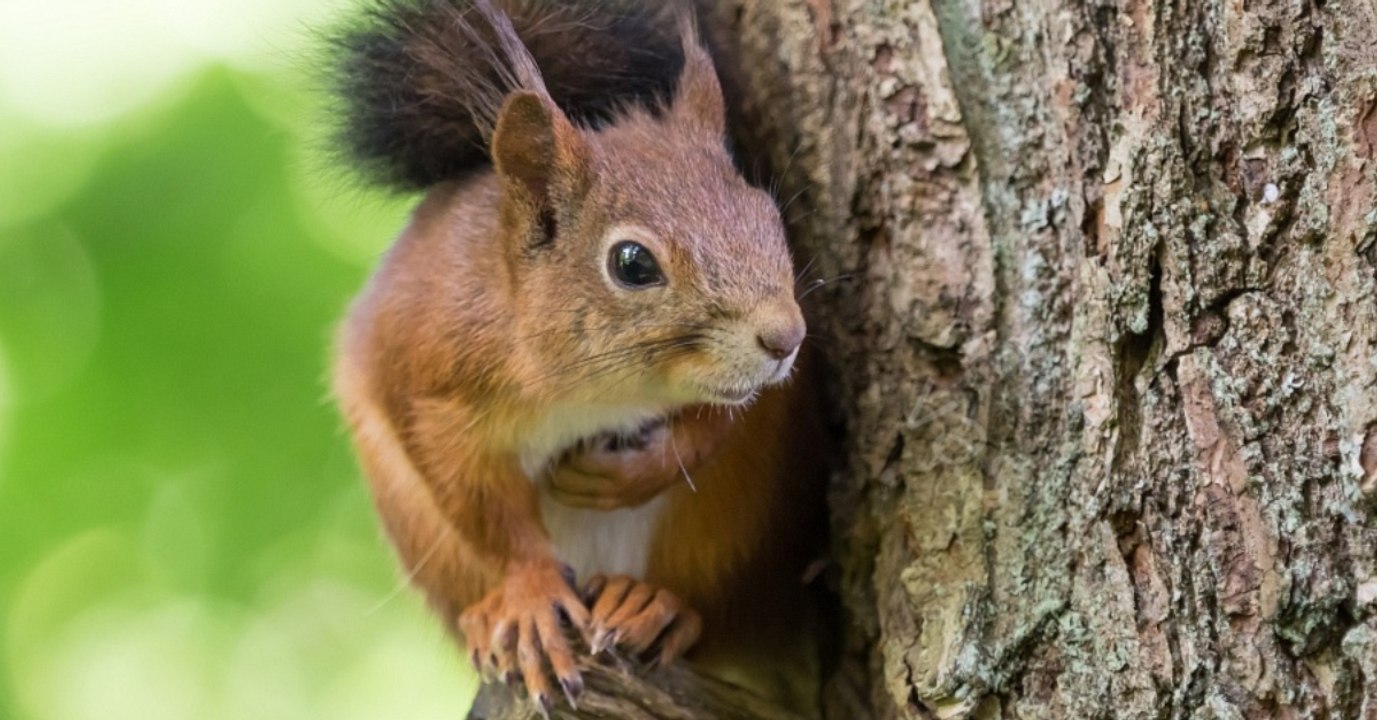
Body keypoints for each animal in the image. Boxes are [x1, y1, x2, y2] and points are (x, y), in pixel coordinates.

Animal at [328, 0, 829, 713]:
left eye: (767, 215)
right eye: (632, 263)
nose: (784, 338)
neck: (596, 389)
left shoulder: (757, 393)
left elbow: (721, 422)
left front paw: (632, 474)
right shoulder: (423, 378)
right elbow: (482, 508)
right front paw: (532, 595)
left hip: (736, 529)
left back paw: (655, 606)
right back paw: (493, 618)